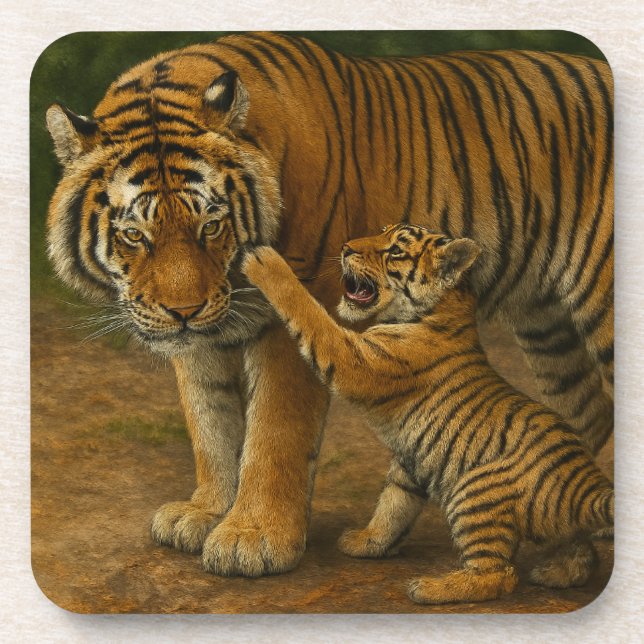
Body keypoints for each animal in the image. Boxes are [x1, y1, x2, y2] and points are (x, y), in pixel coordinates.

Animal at [241, 224, 614, 604]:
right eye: (381, 232)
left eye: (394, 251)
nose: (345, 247)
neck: (448, 306)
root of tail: (585, 485)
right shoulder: (411, 462)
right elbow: (393, 506)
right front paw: (364, 542)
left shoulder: (353, 359)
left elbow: (311, 314)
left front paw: (264, 261)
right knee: (582, 553)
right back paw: (555, 573)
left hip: (474, 492)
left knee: (499, 575)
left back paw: (428, 588)